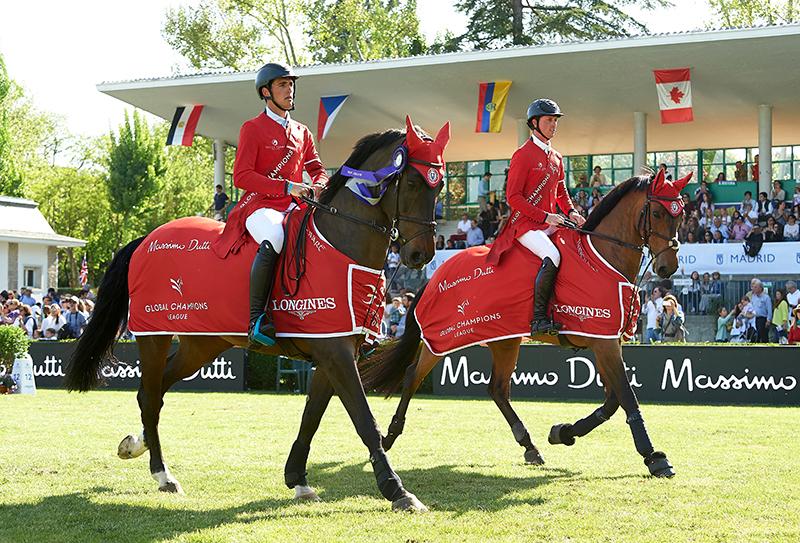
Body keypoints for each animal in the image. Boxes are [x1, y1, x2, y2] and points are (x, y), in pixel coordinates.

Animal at [64, 119, 450, 516]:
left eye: (440, 185)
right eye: (414, 181)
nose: (421, 255)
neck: (340, 244)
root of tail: (145, 239)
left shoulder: (333, 349)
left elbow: (311, 416)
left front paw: (298, 479)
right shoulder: (334, 352)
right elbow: (364, 420)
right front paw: (397, 490)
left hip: (202, 344)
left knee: (152, 392)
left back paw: (136, 445)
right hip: (154, 335)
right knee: (152, 396)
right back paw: (162, 474)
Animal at [360, 171, 692, 480]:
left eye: (681, 215)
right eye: (658, 213)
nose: (668, 267)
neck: (602, 256)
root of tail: (433, 277)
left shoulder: (604, 339)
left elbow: (612, 401)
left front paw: (563, 432)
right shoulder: (604, 341)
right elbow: (626, 396)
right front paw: (654, 457)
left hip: (504, 339)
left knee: (497, 389)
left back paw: (530, 446)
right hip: (442, 339)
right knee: (412, 376)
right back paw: (389, 437)